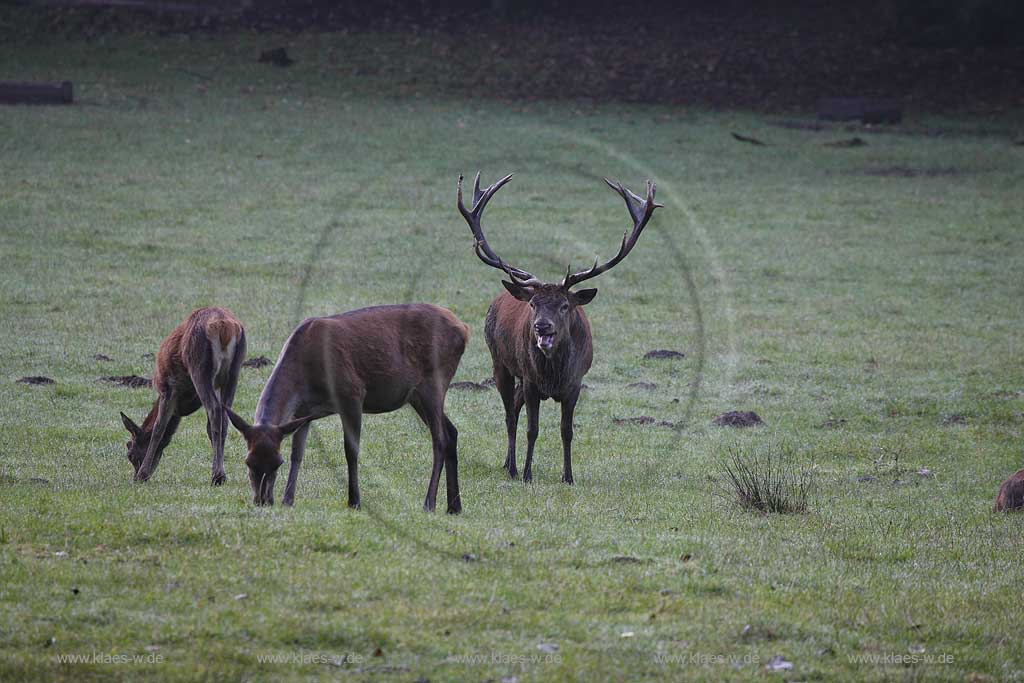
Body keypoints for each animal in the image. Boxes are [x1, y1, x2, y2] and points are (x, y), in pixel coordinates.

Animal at [119, 307, 245, 489]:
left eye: (130, 452)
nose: (135, 477)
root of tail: (224, 326)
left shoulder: (168, 388)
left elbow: (158, 427)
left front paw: (143, 473)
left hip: (199, 367)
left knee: (214, 410)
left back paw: (217, 476)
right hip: (234, 370)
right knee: (224, 415)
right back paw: (219, 474)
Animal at [224, 305, 468, 511]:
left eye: (277, 463)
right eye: (248, 462)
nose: (263, 500)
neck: (304, 378)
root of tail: (464, 329)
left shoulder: (352, 395)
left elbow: (351, 451)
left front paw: (354, 501)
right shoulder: (303, 412)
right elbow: (297, 453)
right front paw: (288, 499)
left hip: (435, 380)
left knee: (440, 439)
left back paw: (429, 503)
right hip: (416, 396)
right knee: (452, 432)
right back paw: (454, 506)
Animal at [458, 171, 663, 483]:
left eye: (565, 305)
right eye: (533, 304)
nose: (542, 327)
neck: (553, 374)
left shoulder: (575, 383)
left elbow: (567, 431)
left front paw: (568, 476)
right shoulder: (531, 381)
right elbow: (532, 429)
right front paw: (527, 474)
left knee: (514, 405)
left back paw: (507, 463)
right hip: (500, 361)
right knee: (509, 414)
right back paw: (512, 467)